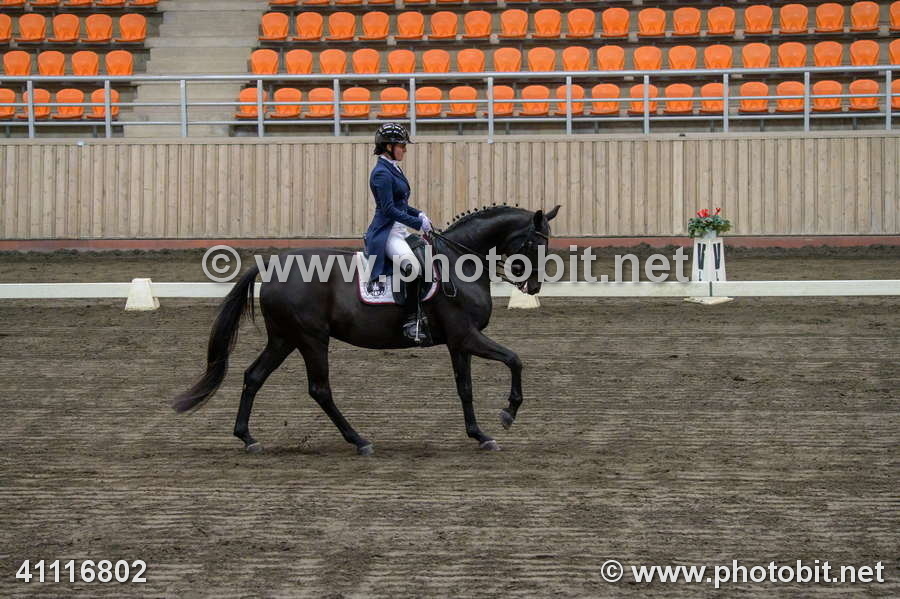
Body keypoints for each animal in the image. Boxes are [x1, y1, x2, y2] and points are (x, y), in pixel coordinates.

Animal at [173, 204, 561, 454]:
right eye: (534, 243)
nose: (533, 287)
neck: (457, 261)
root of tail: (271, 267)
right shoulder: (466, 336)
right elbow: (514, 359)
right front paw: (508, 414)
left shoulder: (457, 343)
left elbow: (465, 388)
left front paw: (480, 435)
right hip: (311, 338)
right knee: (319, 389)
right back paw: (359, 441)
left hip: (285, 338)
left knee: (253, 376)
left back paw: (248, 438)